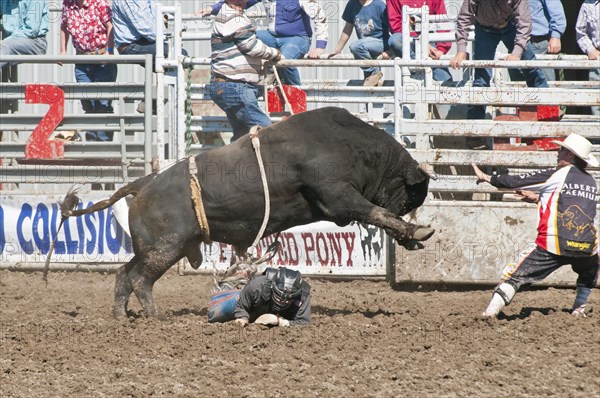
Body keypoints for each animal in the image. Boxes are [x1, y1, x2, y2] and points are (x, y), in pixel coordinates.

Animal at [49, 107, 434, 318]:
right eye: (409, 197)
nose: (405, 213)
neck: (353, 146)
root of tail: (144, 183)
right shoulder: (338, 196)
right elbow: (374, 212)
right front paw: (414, 231)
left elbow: (377, 214)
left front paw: (411, 234)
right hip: (165, 247)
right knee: (141, 279)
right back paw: (156, 317)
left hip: (155, 247)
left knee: (124, 274)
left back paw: (120, 317)